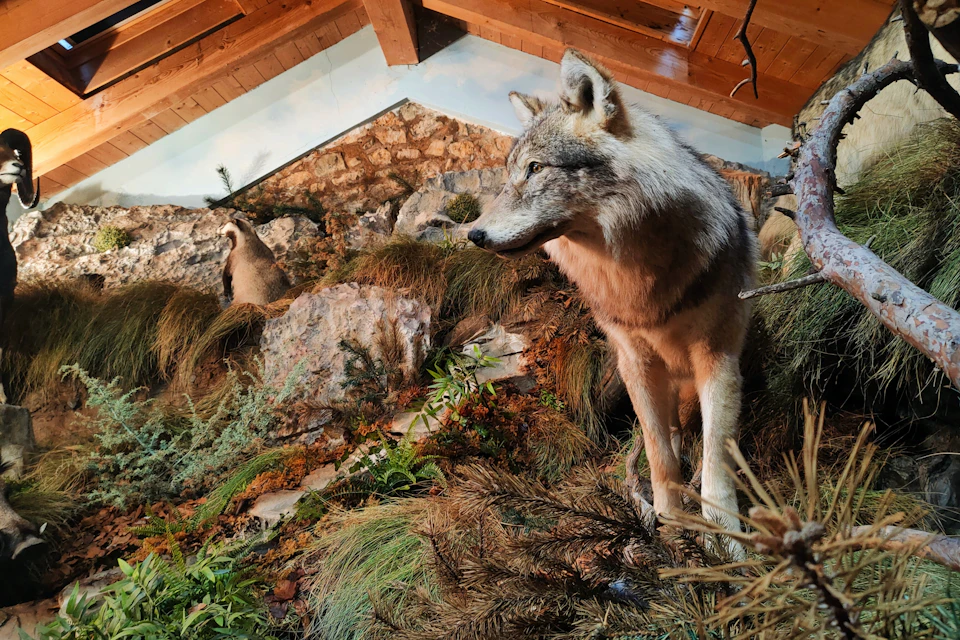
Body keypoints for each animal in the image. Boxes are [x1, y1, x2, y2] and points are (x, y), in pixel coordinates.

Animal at [468, 49, 756, 553]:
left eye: (535, 168)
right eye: (508, 174)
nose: (475, 235)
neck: (638, 275)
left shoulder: (717, 358)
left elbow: (717, 463)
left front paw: (726, 541)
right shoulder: (635, 360)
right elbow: (659, 456)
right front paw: (670, 525)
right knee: (668, 436)